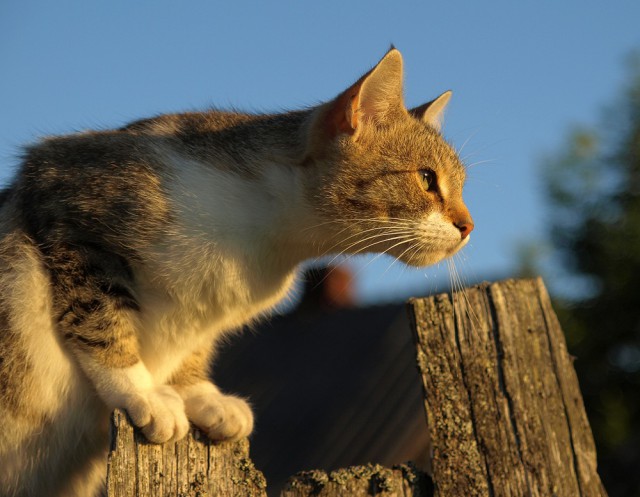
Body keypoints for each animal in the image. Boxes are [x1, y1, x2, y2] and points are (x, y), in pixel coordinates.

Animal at [0, 47, 470, 496]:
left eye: (460, 187)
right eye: (427, 178)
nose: (469, 226)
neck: (270, 242)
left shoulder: (205, 302)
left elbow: (191, 344)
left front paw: (199, 394)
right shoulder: (65, 204)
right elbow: (99, 315)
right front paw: (143, 390)